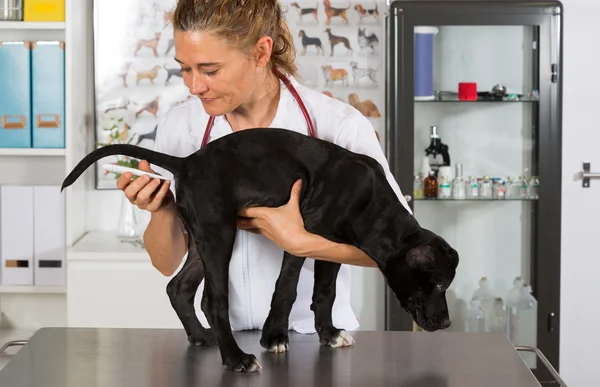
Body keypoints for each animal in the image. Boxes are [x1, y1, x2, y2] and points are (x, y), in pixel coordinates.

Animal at [61, 129, 460, 374]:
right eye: (438, 286)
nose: (447, 324)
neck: (371, 202)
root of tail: (187, 161)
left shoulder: (330, 247)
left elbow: (325, 293)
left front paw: (329, 333)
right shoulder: (300, 235)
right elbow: (287, 287)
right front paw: (275, 336)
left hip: (202, 239)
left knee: (179, 288)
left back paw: (201, 336)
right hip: (219, 236)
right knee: (212, 301)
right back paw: (236, 358)